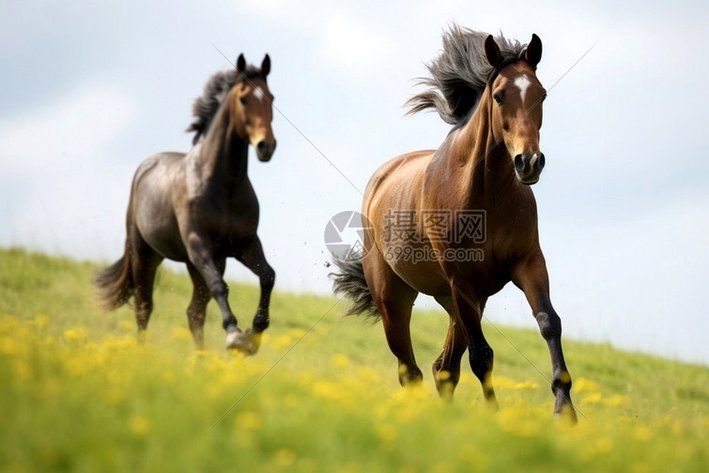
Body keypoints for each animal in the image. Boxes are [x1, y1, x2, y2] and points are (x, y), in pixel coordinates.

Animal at [94, 54, 276, 355]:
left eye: (271, 98)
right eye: (243, 99)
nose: (266, 146)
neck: (223, 185)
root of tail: (146, 166)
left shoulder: (245, 244)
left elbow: (268, 276)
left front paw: (253, 336)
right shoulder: (198, 244)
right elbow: (220, 286)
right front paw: (234, 335)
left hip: (202, 263)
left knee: (194, 313)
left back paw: (201, 359)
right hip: (146, 254)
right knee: (144, 306)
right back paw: (142, 354)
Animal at [332, 26, 577, 421]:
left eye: (541, 94)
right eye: (499, 95)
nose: (529, 162)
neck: (485, 195)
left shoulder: (528, 263)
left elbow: (549, 323)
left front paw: (564, 410)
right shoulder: (461, 280)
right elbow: (482, 356)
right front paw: (495, 417)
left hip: (457, 301)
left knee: (442, 368)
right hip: (397, 297)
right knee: (412, 369)